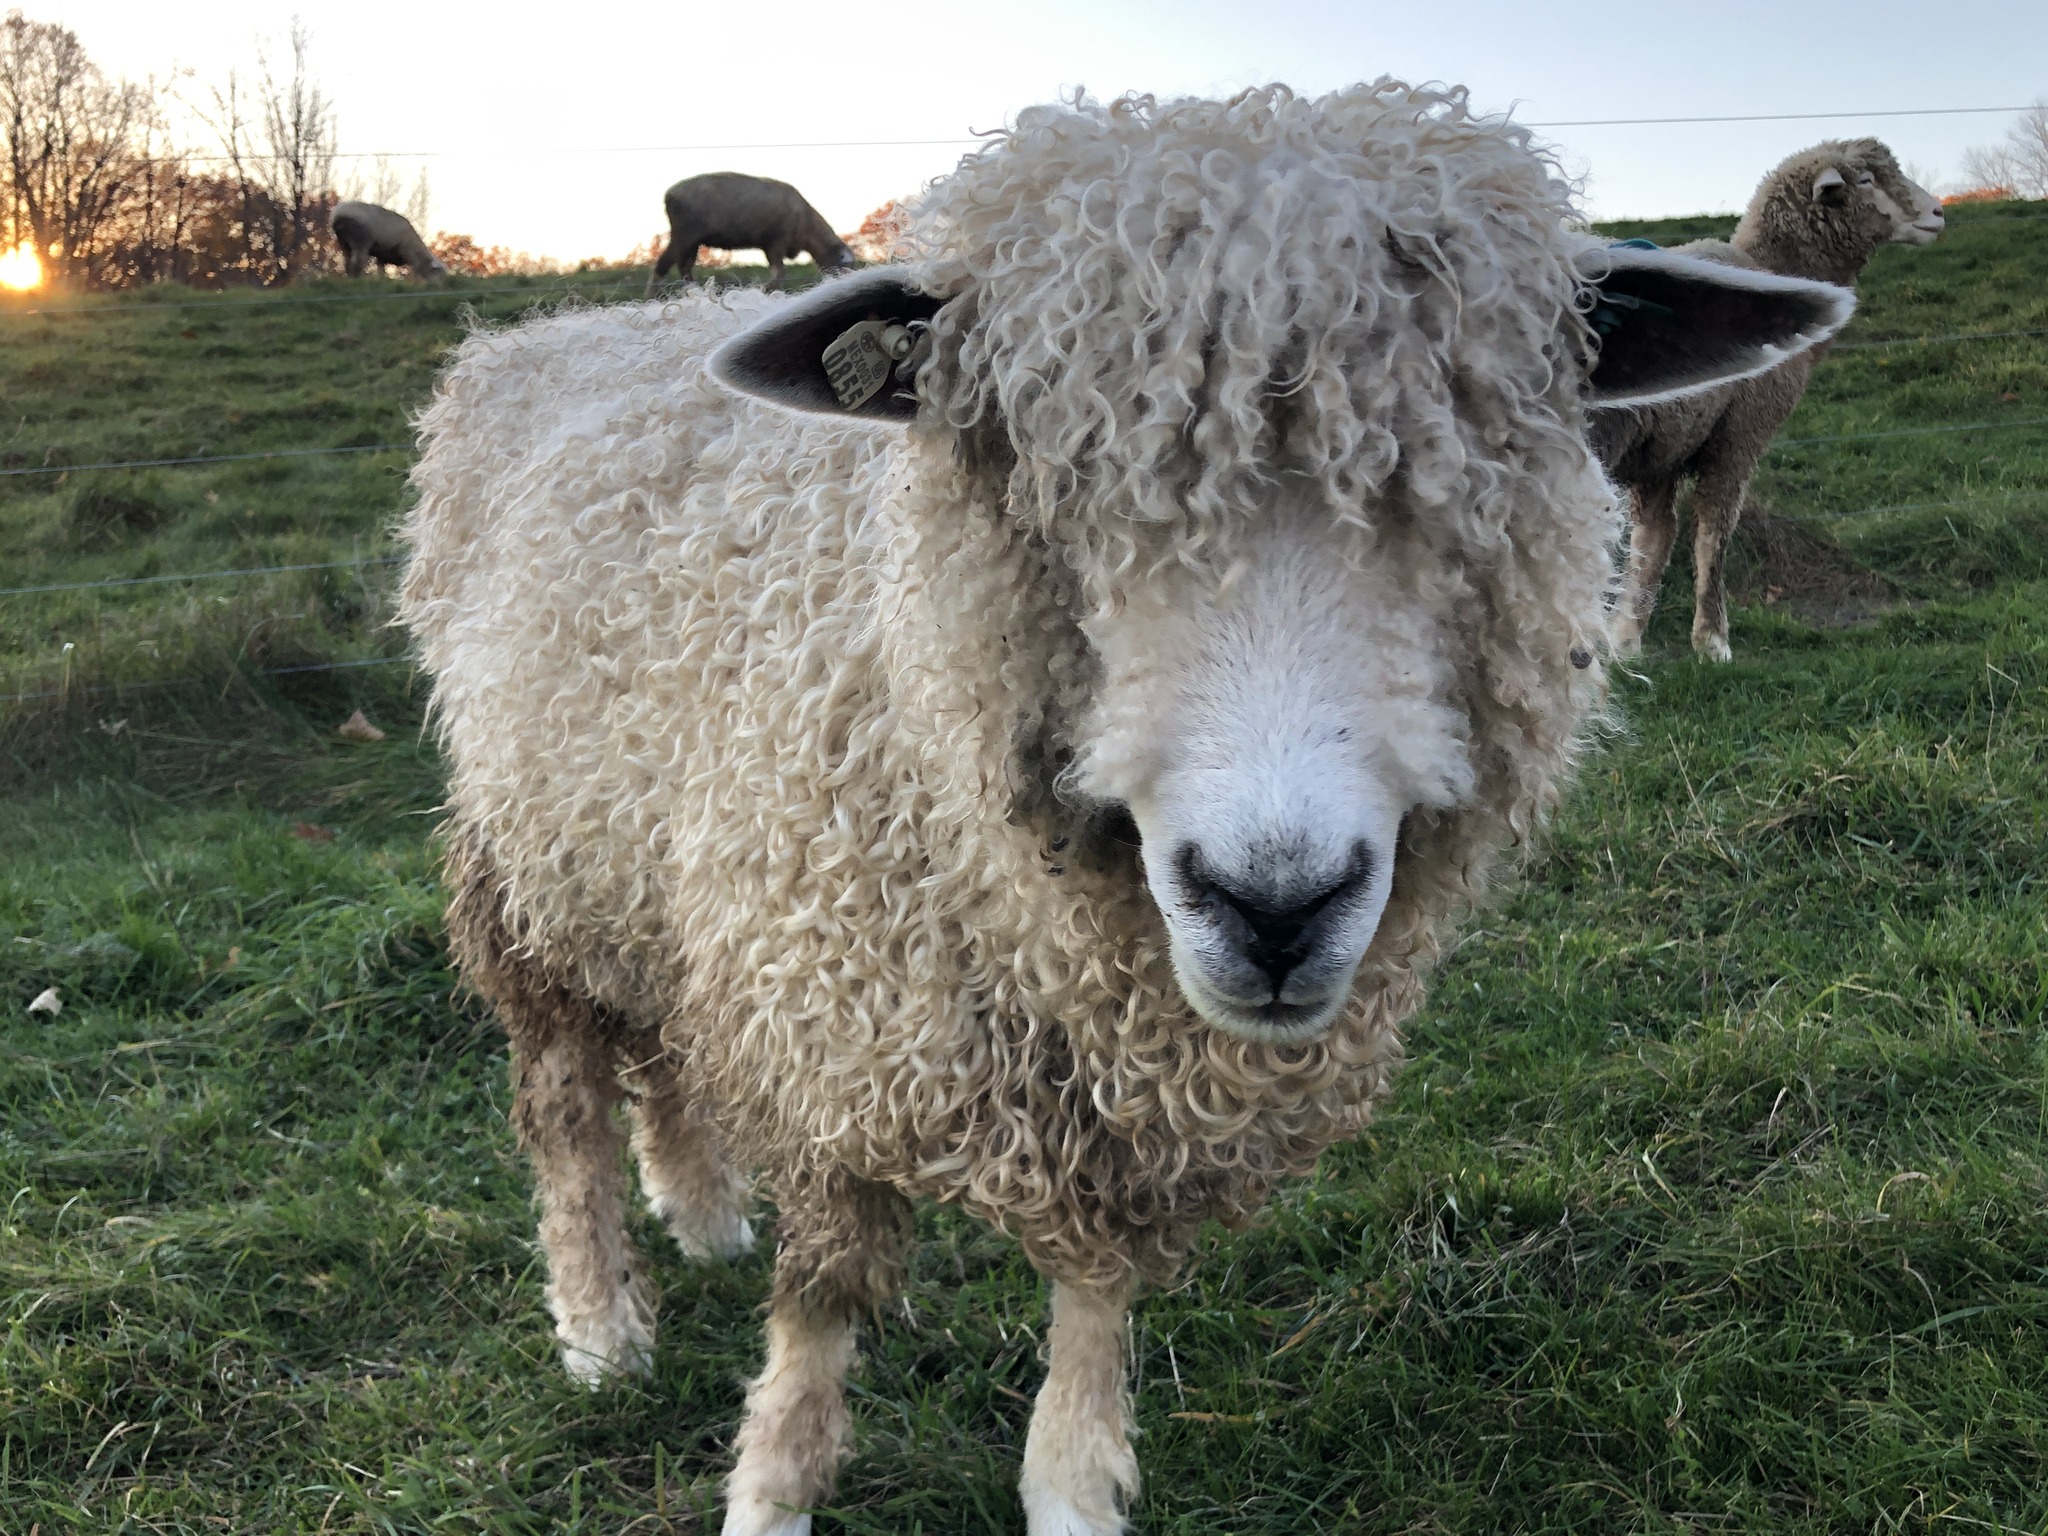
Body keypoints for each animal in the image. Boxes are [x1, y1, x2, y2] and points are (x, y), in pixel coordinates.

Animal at [647, 171, 855, 294]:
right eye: (845, 264)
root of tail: (670, 194)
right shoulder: (776, 241)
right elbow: (780, 272)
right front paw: (768, 290)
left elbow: (778, 272)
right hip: (684, 235)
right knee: (663, 265)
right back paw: (654, 296)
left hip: (692, 241)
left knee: (684, 269)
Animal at [1595, 138, 1942, 661]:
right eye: (1865, 181)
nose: (1939, 213)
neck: (1770, 267)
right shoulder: (1741, 434)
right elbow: (1712, 533)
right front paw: (1712, 642)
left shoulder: (1663, 449)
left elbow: (1652, 540)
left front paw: (1625, 638)